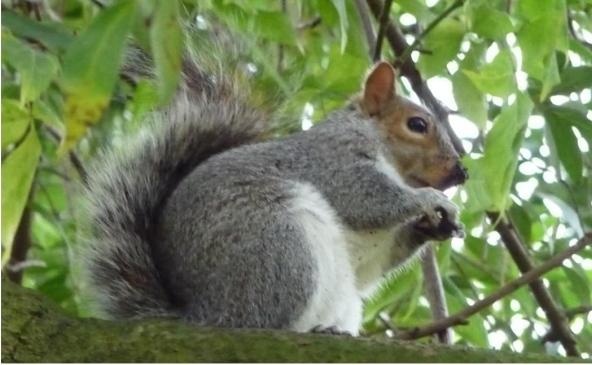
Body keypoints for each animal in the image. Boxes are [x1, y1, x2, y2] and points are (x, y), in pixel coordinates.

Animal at [80, 41, 468, 334]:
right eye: (417, 125)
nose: (460, 172)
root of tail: (201, 314)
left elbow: (374, 262)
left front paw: (434, 226)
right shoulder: (333, 161)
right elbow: (367, 198)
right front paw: (428, 200)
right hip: (279, 246)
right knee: (266, 318)